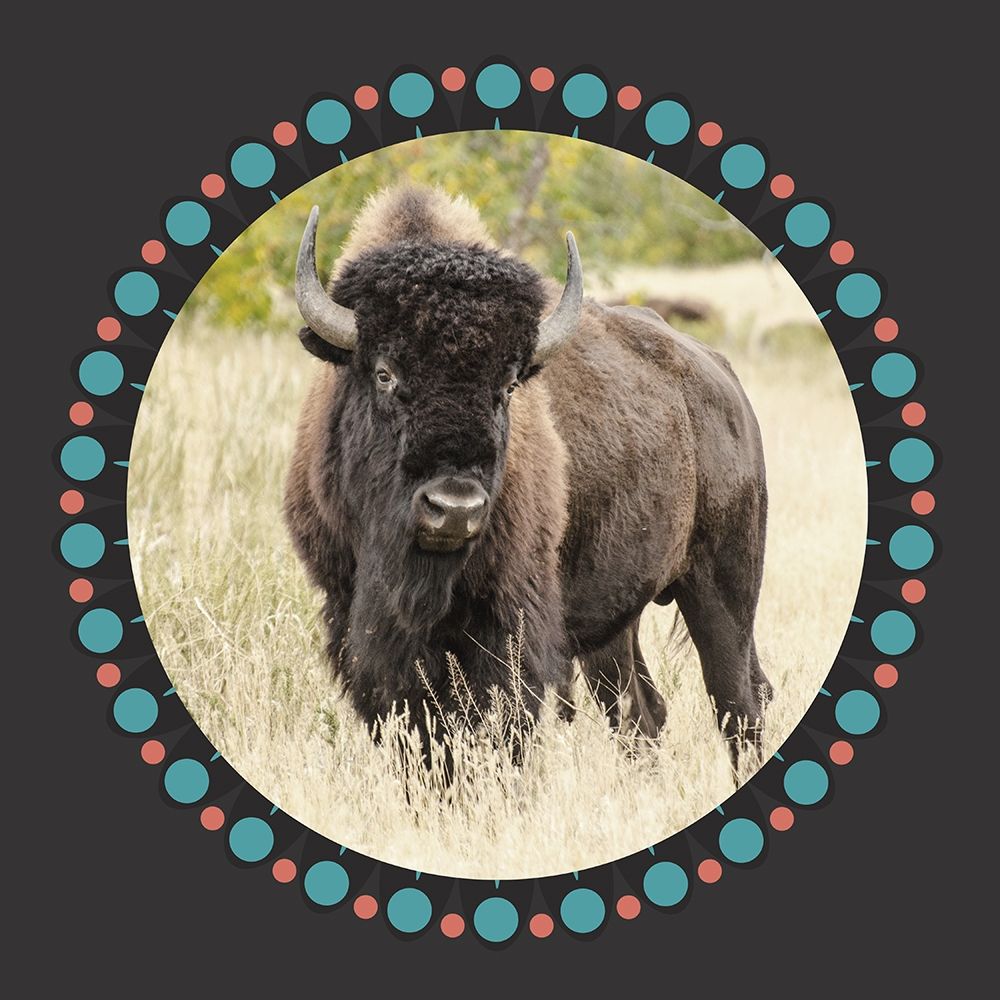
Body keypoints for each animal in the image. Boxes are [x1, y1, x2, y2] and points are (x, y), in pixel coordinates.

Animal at [284, 185, 770, 765]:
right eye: (384, 373)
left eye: (510, 385)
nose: (454, 509)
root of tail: (722, 376)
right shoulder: (354, 615)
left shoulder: (512, 625)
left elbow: (501, 727)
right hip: (618, 621)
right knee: (641, 712)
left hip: (724, 587)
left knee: (737, 707)